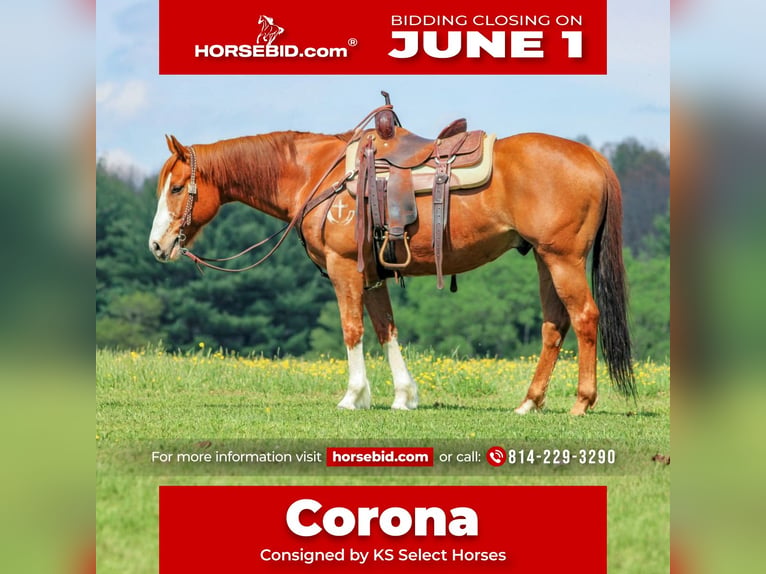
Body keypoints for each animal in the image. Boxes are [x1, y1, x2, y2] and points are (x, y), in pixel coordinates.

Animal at [148, 109, 635, 416]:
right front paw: (403, 396)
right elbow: (386, 330)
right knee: (555, 324)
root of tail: (592, 156)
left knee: (585, 317)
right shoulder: (373, 274)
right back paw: (529, 402)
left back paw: (581, 402)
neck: (318, 173)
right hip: (544, 259)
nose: (156, 246)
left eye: (177, 188)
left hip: (562, 258)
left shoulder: (345, 267)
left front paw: (353, 396)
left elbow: (353, 330)